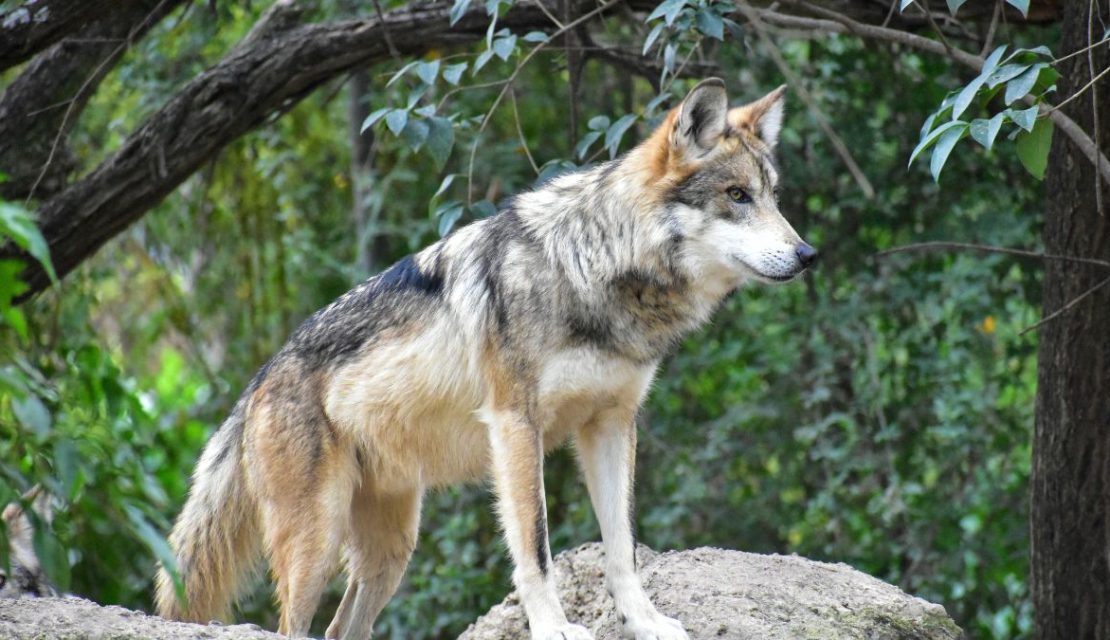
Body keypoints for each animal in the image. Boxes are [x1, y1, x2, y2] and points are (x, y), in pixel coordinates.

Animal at [155, 77, 816, 640]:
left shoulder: (612, 426)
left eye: (773, 197)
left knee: (344, 628)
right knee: (294, 626)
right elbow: (536, 547)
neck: (594, 269)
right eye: (737, 196)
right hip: (317, 542)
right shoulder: (515, 425)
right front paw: (555, 629)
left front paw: (645, 622)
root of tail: (260, 378)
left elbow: (622, 546)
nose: (809, 255)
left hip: (392, 549)